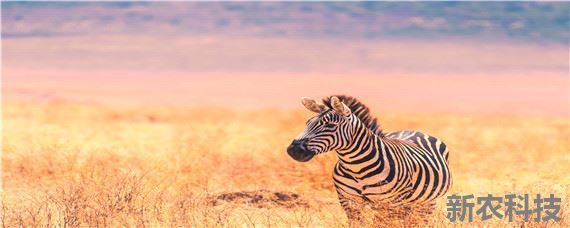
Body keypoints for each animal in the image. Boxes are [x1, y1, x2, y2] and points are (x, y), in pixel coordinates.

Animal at [286, 95, 450, 225]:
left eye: (330, 125)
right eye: (307, 123)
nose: (294, 150)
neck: (356, 168)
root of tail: (412, 130)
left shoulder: (391, 203)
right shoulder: (349, 201)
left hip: (426, 203)